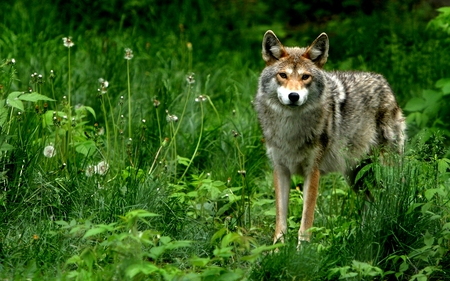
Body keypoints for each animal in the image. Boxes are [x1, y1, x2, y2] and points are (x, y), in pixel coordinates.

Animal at [255, 31, 406, 245]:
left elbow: (306, 222)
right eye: (283, 75)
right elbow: (280, 223)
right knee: (373, 202)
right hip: (356, 177)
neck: (290, 129)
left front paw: (302, 251)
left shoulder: (313, 171)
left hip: (383, 171)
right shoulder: (280, 169)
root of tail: (384, 82)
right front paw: (276, 250)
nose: (293, 96)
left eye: (305, 77)